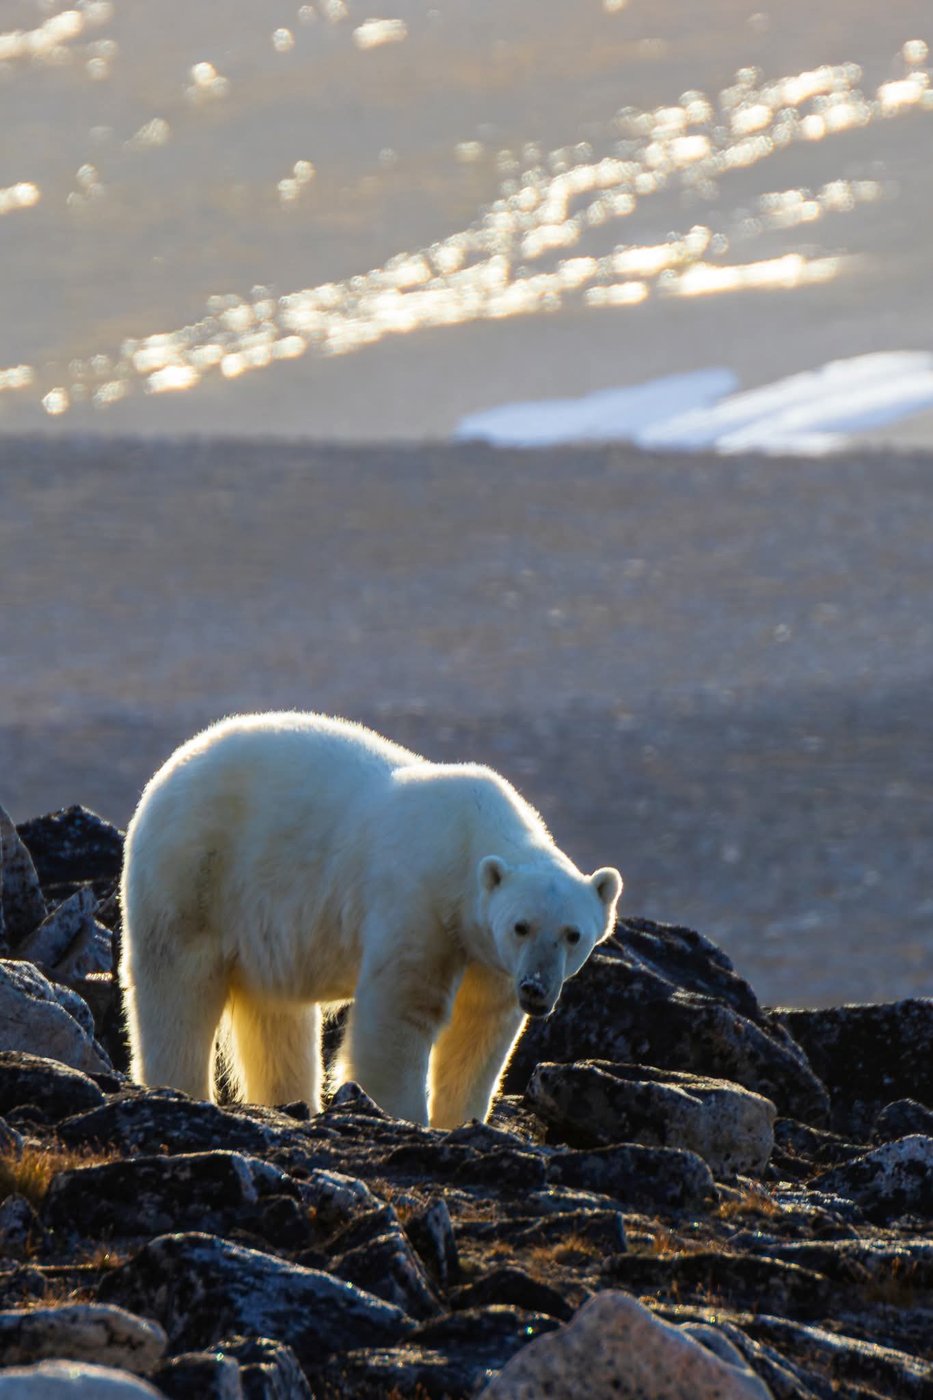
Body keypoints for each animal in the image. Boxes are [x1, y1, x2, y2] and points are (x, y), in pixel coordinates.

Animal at [120, 712, 622, 1127]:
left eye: (573, 934)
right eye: (521, 926)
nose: (536, 989)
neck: (467, 839)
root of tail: (171, 769)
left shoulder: (490, 958)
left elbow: (480, 1030)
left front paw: (461, 1121)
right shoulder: (421, 904)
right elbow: (401, 1011)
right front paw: (405, 1115)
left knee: (277, 1016)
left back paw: (291, 1100)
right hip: (194, 874)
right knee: (178, 988)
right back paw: (182, 1088)